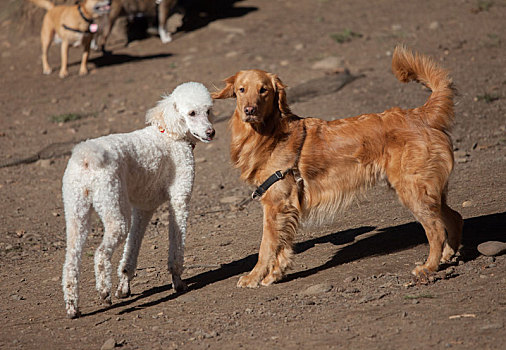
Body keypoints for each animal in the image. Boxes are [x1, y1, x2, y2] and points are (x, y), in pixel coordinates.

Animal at [211, 45, 464, 288]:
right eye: (241, 90)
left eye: (263, 90)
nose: (249, 110)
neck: (269, 134)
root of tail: (420, 114)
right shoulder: (286, 207)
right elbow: (283, 245)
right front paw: (274, 274)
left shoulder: (276, 203)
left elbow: (266, 247)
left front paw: (253, 277)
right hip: (426, 190)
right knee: (454, 217)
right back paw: (447, 256)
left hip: (412, 190)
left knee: (436, 229)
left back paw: (429, 266)